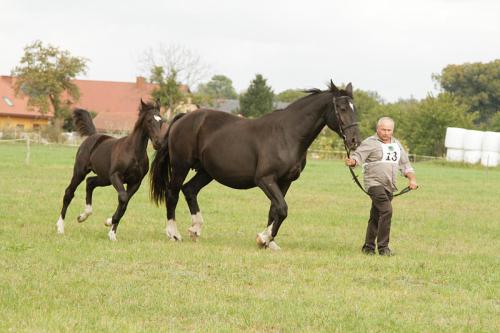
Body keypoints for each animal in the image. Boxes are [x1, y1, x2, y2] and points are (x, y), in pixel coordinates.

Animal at [56, 100, 162, 240]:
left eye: (161, 121)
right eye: (149, 120)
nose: (158, 142)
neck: (133, 153)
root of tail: (94, 135)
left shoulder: (135, 182)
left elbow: (124, 204)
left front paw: (112, 233)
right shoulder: (115, 176)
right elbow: (123, 198)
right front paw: (109, 222)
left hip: (104, 178)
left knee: (90, 182)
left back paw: (83, 216)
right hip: (80, 172)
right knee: (69, 192)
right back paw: (60, 227)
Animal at [150, 80, 362, 249]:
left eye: (355, 108)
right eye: (342, 108)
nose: (354, 141)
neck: (287, 135)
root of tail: (184, 117)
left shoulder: (284, 181)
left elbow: (275, 210)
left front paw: (268, 242)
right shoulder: (265, 179)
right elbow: (282, 209)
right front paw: (264, 238)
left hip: (207, 172)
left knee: (189, 190)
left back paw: (195, 229)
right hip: (181, 166)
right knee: (172, 193)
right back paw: (174, 234)